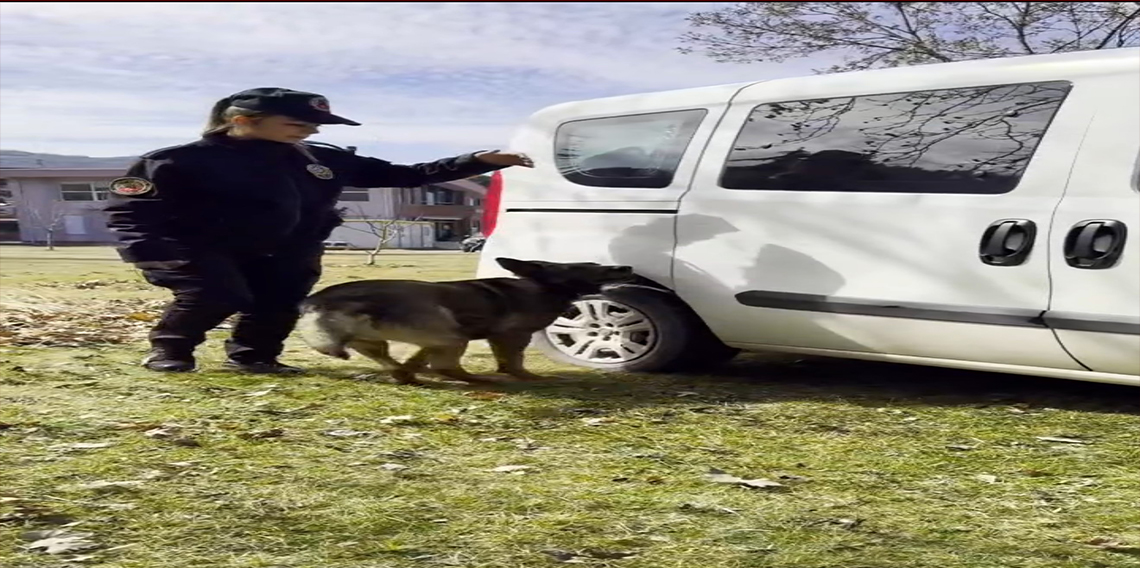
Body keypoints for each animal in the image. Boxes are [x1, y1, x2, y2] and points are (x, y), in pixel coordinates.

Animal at [296, 258, 633, 383]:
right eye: (591, 266)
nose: (625, 267)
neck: (542, 286)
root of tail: (321, 299)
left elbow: (420, 355)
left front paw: (413, 367)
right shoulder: (513, 336)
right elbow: (514, 360)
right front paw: (523, 376)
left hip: (378, 341)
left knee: (400, 361)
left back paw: (406, 375)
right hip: (452, 333)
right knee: (445, 365)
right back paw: (474, 379)